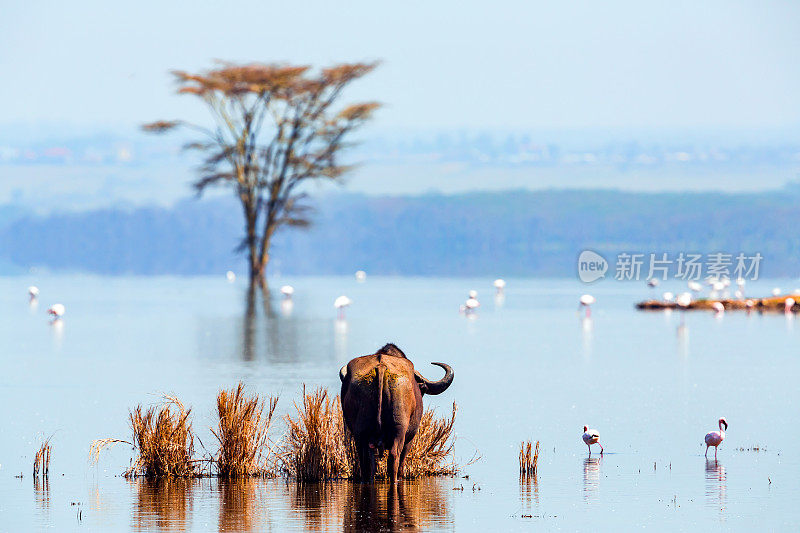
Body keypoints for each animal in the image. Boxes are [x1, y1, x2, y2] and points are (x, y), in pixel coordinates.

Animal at [338, 344, 454, 482]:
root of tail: (381, 367)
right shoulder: (409, 440)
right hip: (399, 430)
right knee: (394, 457)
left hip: (361, 434)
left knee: (366, 462)